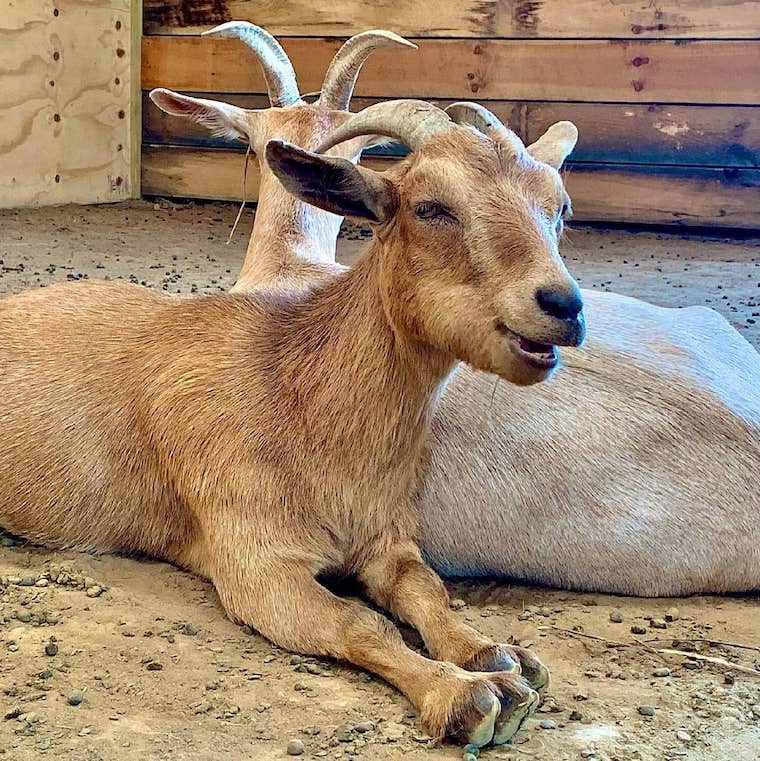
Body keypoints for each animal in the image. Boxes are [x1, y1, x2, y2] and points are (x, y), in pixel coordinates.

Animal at [0, 100, 586, 746]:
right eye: (430, 207)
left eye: (561, 208)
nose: (564, 306)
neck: (298, 401)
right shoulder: (254, 558)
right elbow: (361, 624)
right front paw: (468, 696)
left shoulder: (384, 536)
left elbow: (427, 591)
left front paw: (495, 654)